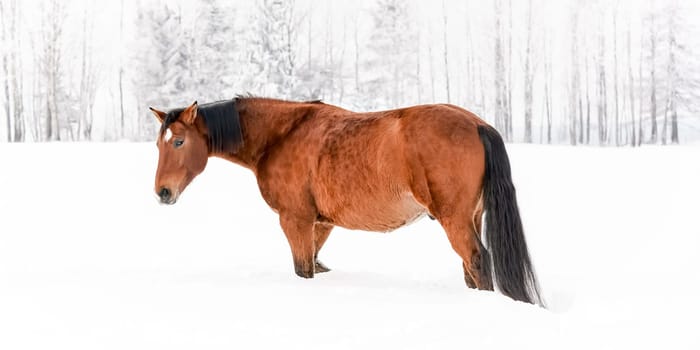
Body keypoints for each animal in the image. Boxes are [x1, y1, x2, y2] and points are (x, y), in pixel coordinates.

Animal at [150, 97, 544, 304]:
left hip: (455, 220)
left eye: (179, 142)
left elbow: (303, 269)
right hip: (472, 217)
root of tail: (476, 123)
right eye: (158, 143)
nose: (162, 193)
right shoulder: (320, 224)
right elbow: (315, 263)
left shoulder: (295, 219)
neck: (281, 135)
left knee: (478, 262)